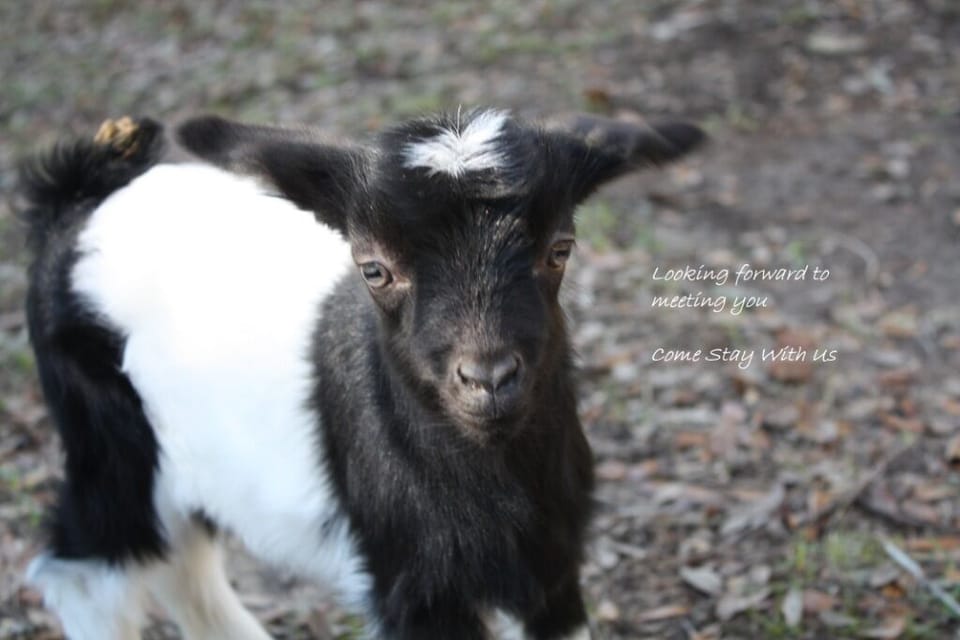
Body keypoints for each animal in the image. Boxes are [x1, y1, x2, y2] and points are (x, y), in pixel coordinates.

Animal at [20, 109, 704, 639]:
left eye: (559, 249)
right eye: (373, 268)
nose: (488, 378)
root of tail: (83, 194)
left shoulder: (551, 564)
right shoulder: (412, 584)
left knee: (183, 566)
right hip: (110, 442)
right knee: (86, 566)